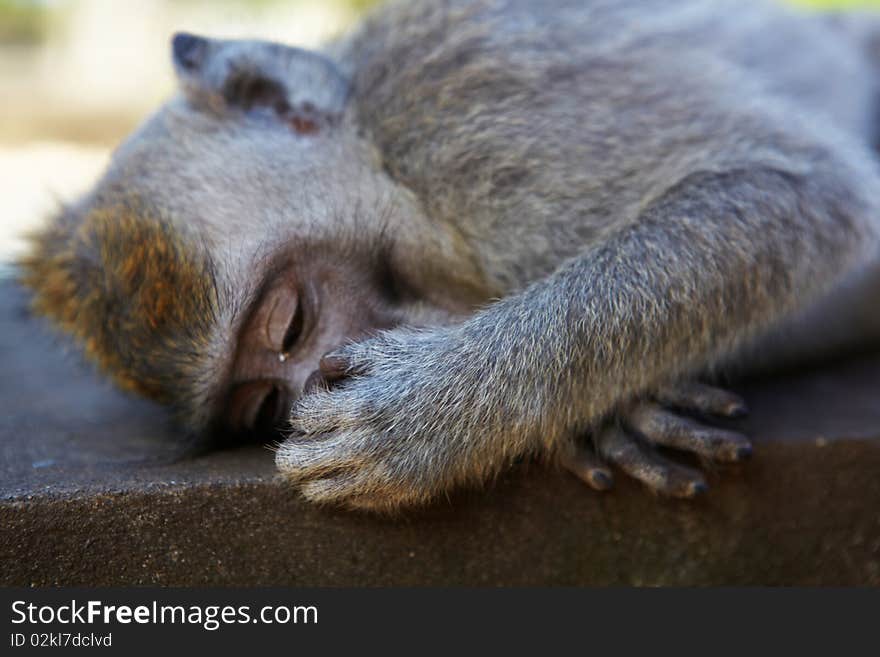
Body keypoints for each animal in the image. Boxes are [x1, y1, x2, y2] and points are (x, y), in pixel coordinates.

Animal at [17, 0, 880, 510]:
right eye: (262, 405)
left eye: (290, 321)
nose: (316, 382)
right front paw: (599, 418)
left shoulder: (474, 121)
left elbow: (795, 191)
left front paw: (418, 419)